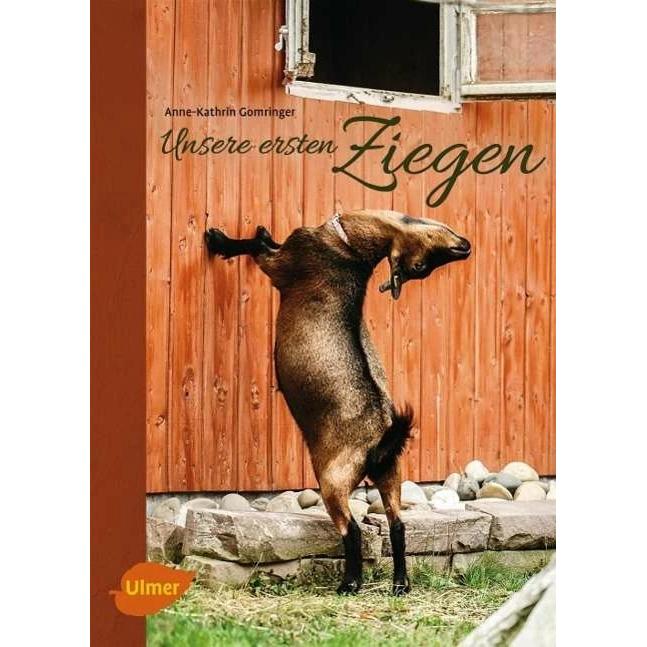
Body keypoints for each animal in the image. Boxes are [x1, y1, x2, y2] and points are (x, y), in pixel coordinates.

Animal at [205, 209, 471, 595]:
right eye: (423, 265)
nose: (464, 248)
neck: (349, 249)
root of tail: (380, 441)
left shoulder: (281, 264)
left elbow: (257, 248)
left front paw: (220, 240)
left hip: (333, 479)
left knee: (352, 529)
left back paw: (350, 583)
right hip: (391, 474)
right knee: (398, 524)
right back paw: (400, 584)